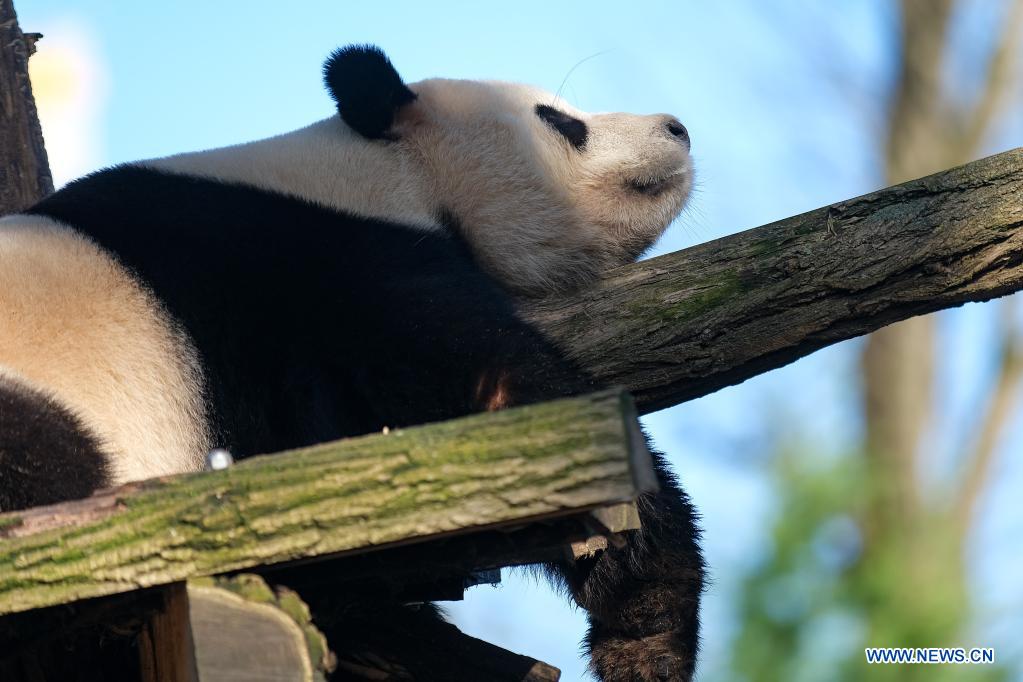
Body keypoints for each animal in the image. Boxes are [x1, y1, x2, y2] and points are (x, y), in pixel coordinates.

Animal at [0, 45, 703, 678]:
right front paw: (646, 615)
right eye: (561, 122)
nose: (678, 128)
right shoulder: (327, 272)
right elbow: (500, 396)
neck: (375, 166)